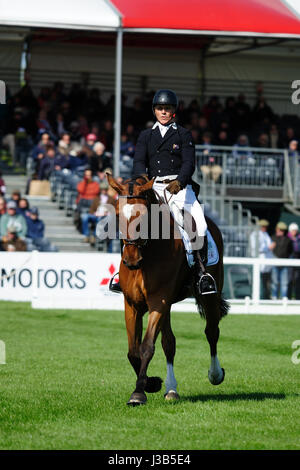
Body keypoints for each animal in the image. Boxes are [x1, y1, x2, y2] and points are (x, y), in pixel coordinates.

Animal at [106, 174, 229, 406]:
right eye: (117, 215)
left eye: (145, 216)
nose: (131, 261)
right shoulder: (132, 304)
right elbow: (133, 351)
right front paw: (152, 383)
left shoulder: (158, 301)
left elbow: (146, 347)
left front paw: (139, 393)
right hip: (168, 305)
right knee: (169, 342)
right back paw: (171, 389)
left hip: (209, 295)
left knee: (211, 331)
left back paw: (215, 374)